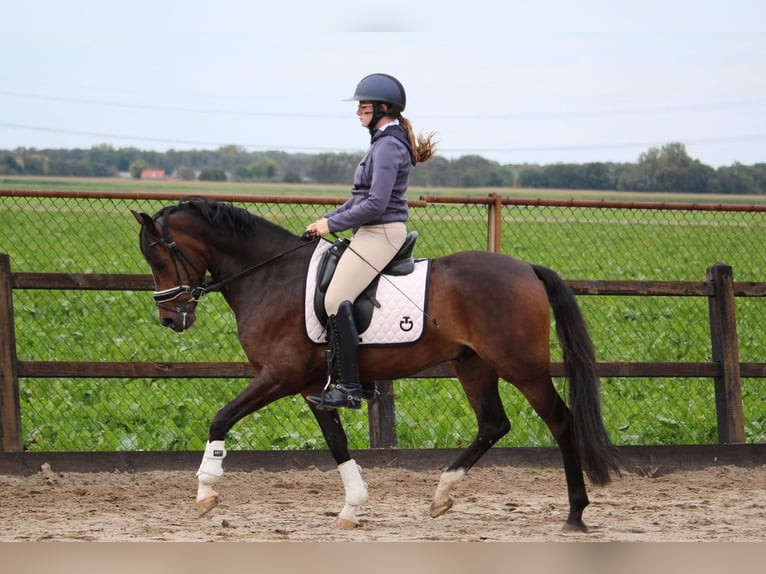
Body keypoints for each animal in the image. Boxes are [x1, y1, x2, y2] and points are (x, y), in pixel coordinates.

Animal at [132, 197, 624, 532]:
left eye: (157, 255)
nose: (170, 318)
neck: (270, 276)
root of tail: (526, 269)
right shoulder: (312, 385)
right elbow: (336, 443)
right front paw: (352, 506)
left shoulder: (279, 376)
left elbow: (221, 418)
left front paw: (205, 491)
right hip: (474, 365)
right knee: (493, 424)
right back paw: (442, 494)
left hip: (521, 367)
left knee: (560, 421)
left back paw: (575, 512)